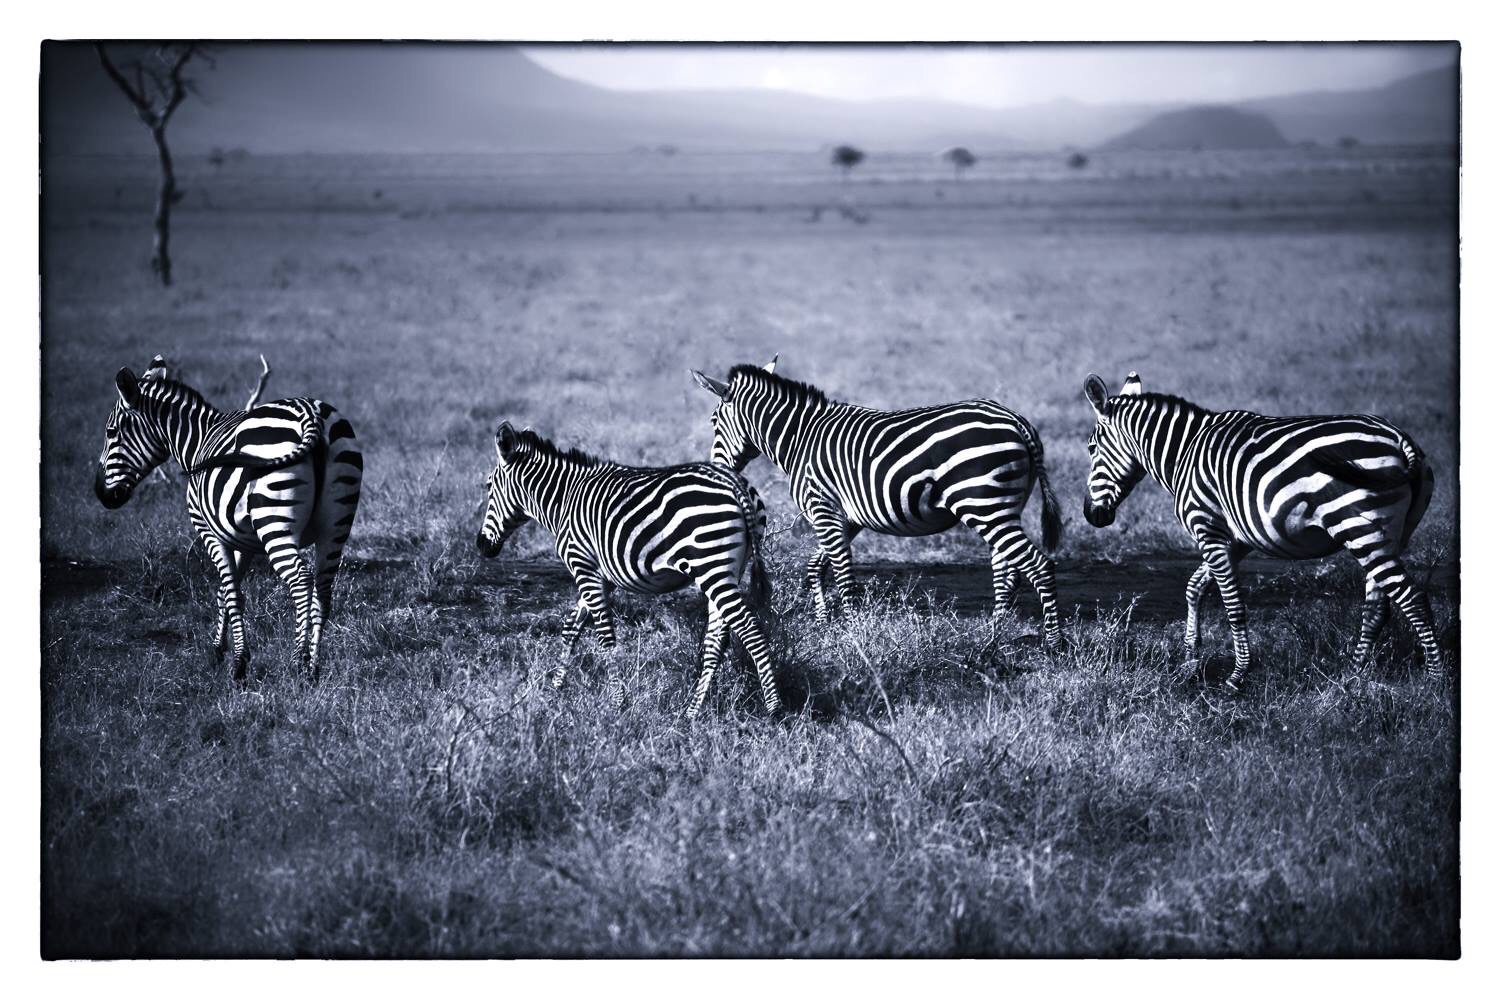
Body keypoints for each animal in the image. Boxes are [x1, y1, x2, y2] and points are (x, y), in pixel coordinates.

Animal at [94, 359, 363, 680]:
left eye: (111, 432)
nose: (100, 494)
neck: (196, 441)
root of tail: (309, 413)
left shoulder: (208, 530)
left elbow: (232, 593)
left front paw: (238, 663)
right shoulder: (242, 539)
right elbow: (227, 591)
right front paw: (218, 650)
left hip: (275, 523)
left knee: (300, 580)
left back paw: (298, 662)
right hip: (336, 524)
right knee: (323, 587)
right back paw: (313, 667)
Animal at [477, 422, 786, 719]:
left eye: (489, 487)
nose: (481, 545)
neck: (564, 499)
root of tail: (734, 481)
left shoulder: (583, 566)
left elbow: (604, 635)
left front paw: (616, 703)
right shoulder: (601, 576)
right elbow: (571, 627)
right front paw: (554, 691)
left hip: (710, 567)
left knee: (750, 629)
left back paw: (774, 709)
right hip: (727, 569)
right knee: (716, 638)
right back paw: (691, 713)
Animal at [693, 355, 1068, 644]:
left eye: (713, 422)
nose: (717, 468)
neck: (800, 438)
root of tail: (1016, 420)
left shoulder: (823, 508)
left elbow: (842, 572)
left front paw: (852, 631)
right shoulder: (848, 518)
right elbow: (817, 567)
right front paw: (824, 623)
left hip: (983, 504)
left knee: (1038, 565)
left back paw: (1054, 643)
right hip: (1002, 506)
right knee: (1007, 569)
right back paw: (995, 633)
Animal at [1086, 371, 1446, 692]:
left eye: (1090, 449)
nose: (1091, 515)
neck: (1184, 452)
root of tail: (1397, 436)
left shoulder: (1208, 529)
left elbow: (1233, 605)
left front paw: (1237, 676)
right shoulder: (1235, 539)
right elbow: (1194, 587)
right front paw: (1190, 661)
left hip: (1358, 527)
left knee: (1412, 598)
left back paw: (1434, 681)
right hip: (1387, 534)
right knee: (1377, 606)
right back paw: (1353, 676)